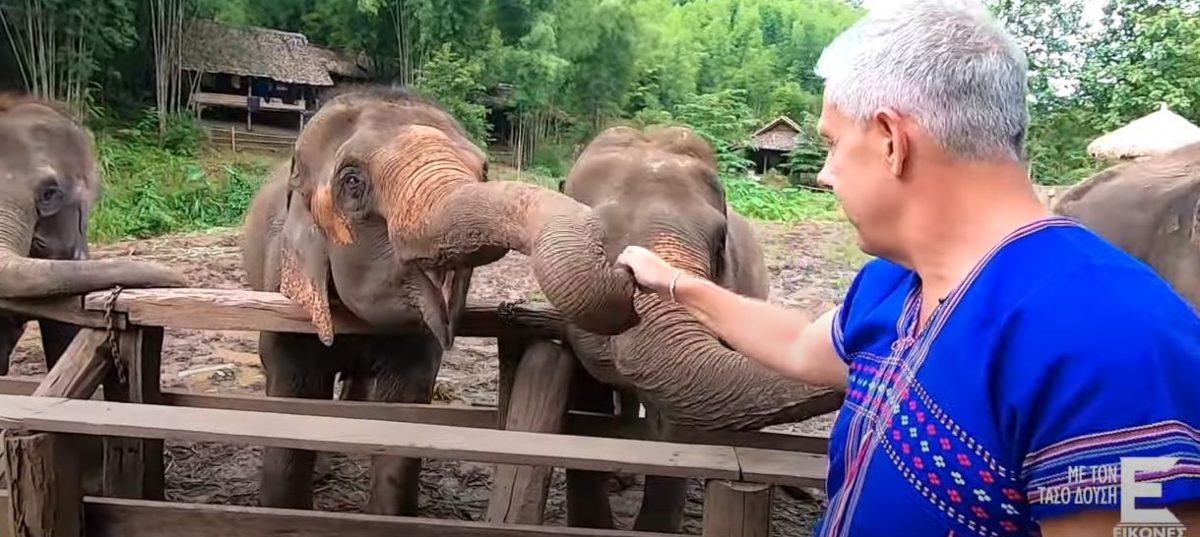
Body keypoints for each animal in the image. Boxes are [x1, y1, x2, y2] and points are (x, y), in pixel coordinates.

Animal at [237, 86, 643, 513]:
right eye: (352, 181)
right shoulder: (282, 297)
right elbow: (292, 399)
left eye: (484, 170)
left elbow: (405, 410)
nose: (626, 266)